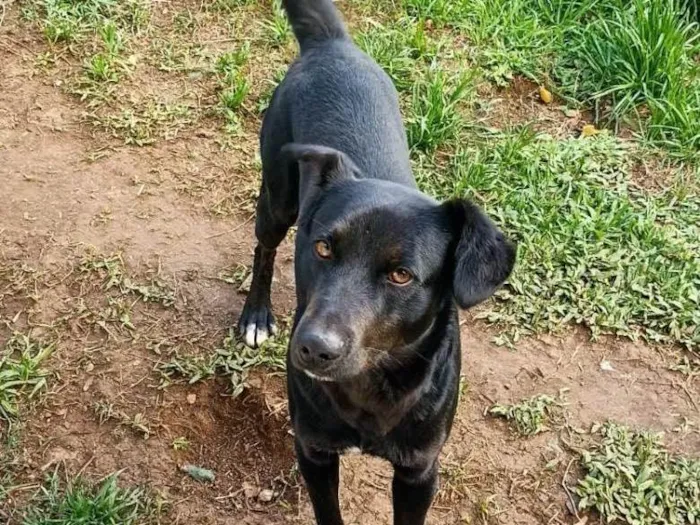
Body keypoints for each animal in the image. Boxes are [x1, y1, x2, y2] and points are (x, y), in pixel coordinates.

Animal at [238, 2, 516, 520]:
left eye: (401, 275)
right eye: (323, 248)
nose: (313, 348)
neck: (370, 385)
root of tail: (333, 45)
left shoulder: (419, 471)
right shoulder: (314, 449)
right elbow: (329, 513)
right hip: (278, 198)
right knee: (264, 248)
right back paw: (256, 315)